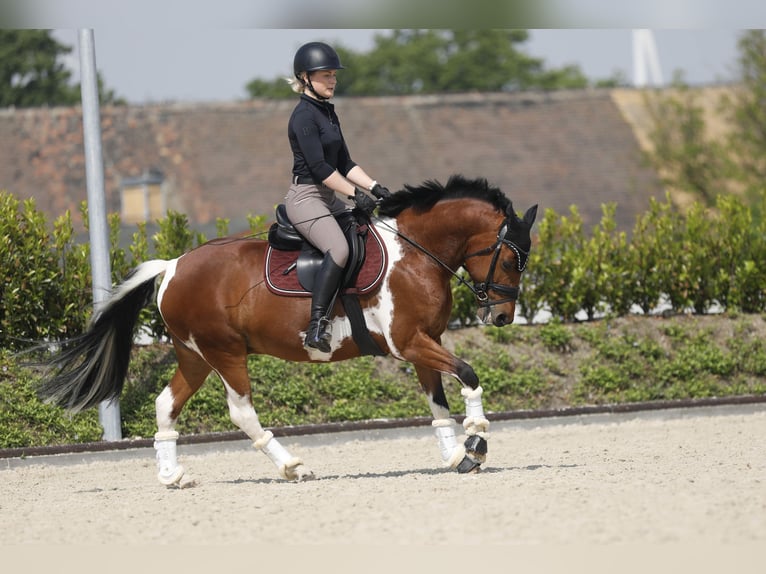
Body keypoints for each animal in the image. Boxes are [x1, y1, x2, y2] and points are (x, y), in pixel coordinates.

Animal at [37, 176, 540, 490]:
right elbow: (469, 375)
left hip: (194, 355)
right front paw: (477, 440)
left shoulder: (423, 345)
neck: (415, 254)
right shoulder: (410, 342)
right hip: (226, 353)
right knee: (242, 412)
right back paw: (293, 467)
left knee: (166, 405)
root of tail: (173, 265)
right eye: (511, 259)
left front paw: (458, 456)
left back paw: (172, 477)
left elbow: (437, 404)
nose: (501, 317)